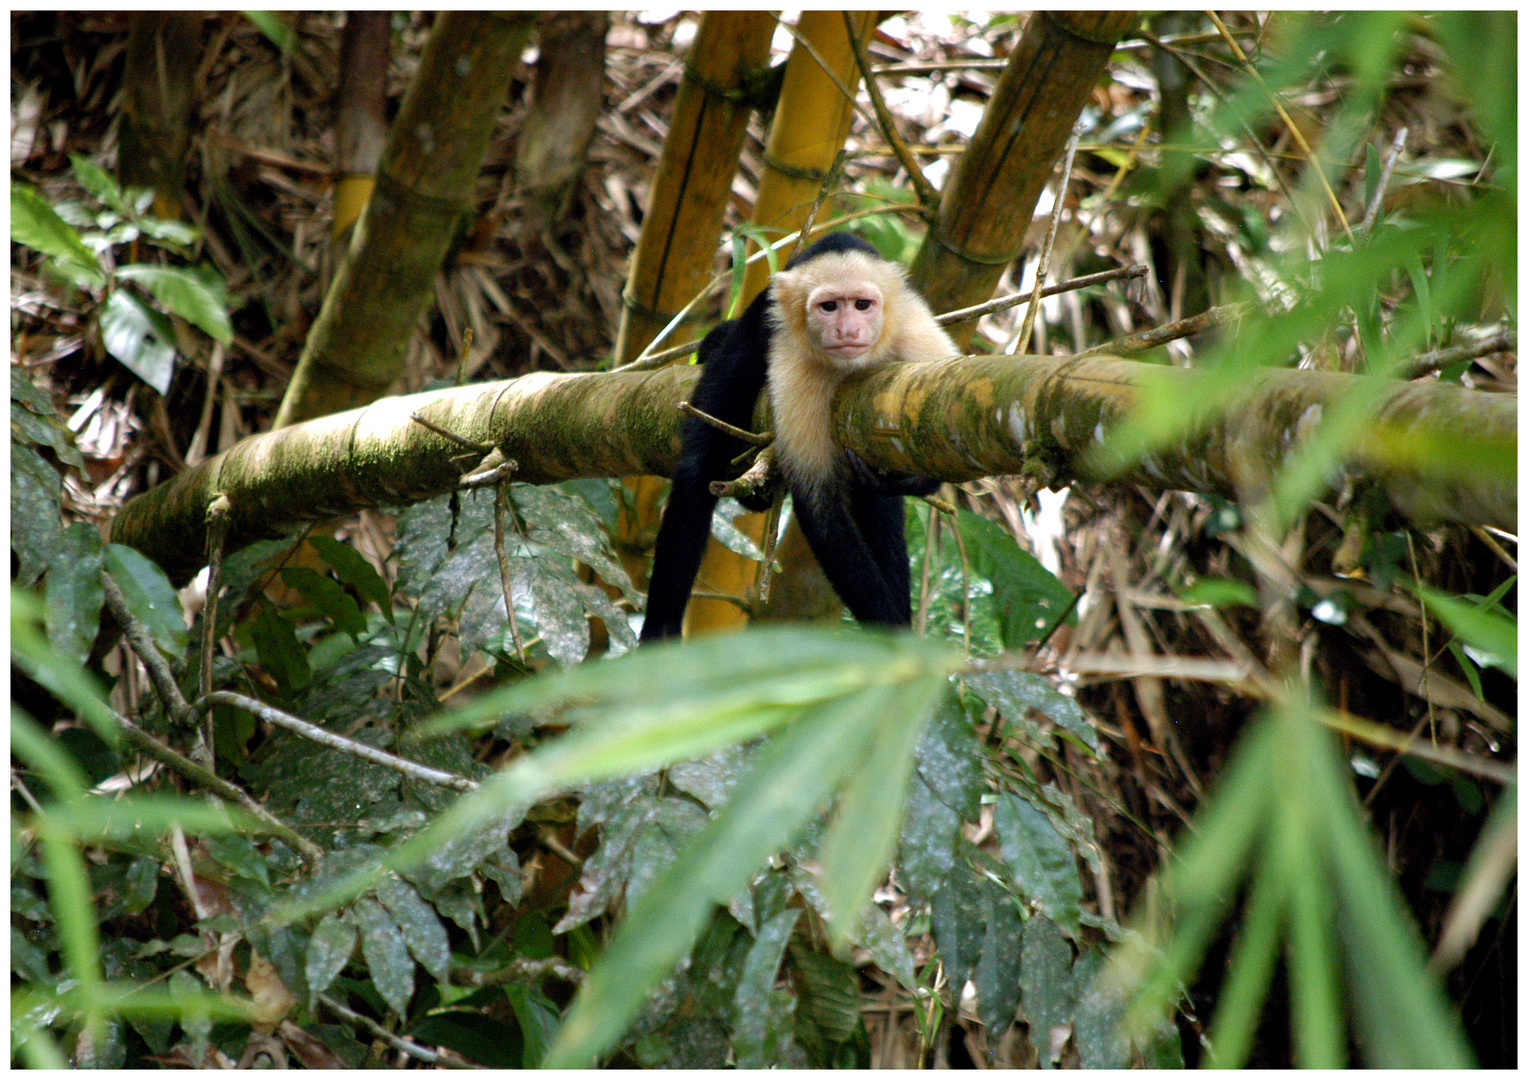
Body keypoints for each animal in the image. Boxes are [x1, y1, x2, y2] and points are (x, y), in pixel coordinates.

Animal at [641, 233, 953, 641]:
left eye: (862, 305)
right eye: (829, 307)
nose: (848, 331)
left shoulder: (918, 338)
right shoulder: (794, 363)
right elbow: (820, 507)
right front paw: (891, 632)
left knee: (880, 508)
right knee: (700, 467)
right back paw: (659, 632)